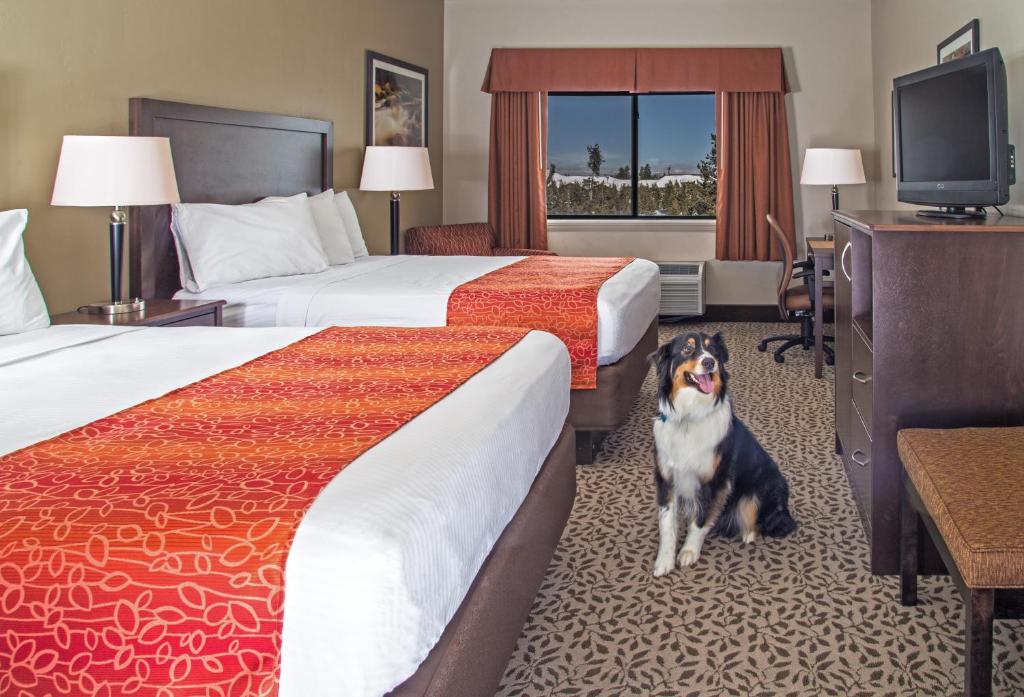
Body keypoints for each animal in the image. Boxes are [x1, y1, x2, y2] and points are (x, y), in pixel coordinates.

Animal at [651, 331, 794, 577]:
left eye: (712, 350)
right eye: (687, 349)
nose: (709, 362)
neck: (690, 415)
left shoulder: (715, 480)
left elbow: (699, 520)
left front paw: (689, 551)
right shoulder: (667, 477)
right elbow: (667, 523)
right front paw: (665, 561)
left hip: (764, 487)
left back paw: (749, 533)